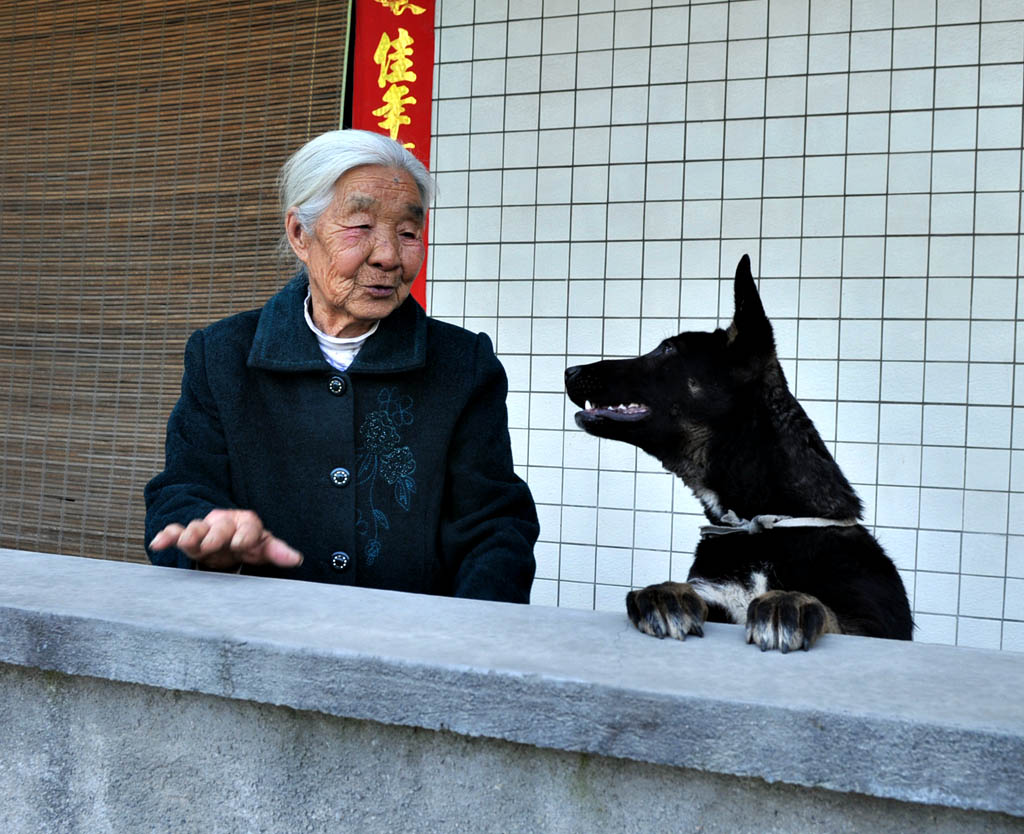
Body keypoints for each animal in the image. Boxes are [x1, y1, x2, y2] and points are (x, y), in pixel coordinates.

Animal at [569, 255, 913, 651]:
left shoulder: (875, 627)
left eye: (667, 350)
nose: (569, 371)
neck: (762, 526)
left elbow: (829, 613)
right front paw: (668, 592)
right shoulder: (716, 596)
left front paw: (790, 601)